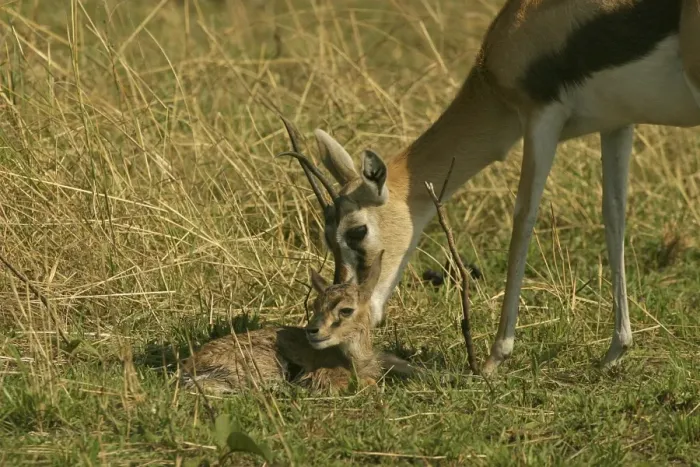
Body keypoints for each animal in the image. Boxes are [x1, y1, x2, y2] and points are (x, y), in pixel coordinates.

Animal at [279, 0, 700, 375]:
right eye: (326, 237)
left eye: (357, 231)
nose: (353, 306)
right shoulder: (616, 123)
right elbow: (614, 217)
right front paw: (616, 350)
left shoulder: (540, 117)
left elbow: (523, 219)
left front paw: (495, 358)